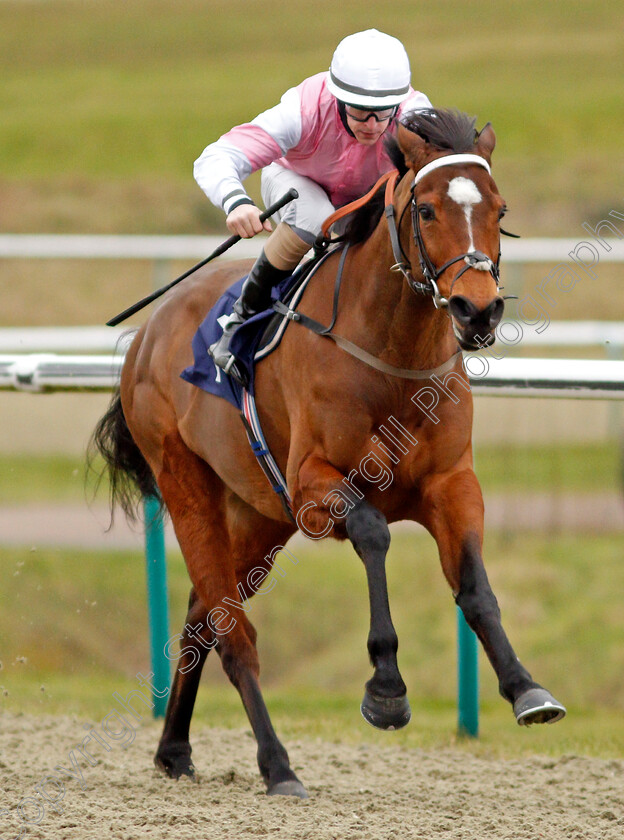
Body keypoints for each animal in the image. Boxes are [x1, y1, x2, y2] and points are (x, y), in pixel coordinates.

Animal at [92, 108, 564, 796]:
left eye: (499, 210)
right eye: (426, 209)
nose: (478, 310)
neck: (392, 359)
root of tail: (148, 332)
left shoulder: (452, 483)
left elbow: (474, 584)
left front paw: (526, 688)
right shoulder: (316, 490)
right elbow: (372, 532)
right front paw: (386, 690)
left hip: (258, 515)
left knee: (202, 614)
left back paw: (174, 749)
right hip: (188, 484)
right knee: (231, 629)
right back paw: (277, 764)